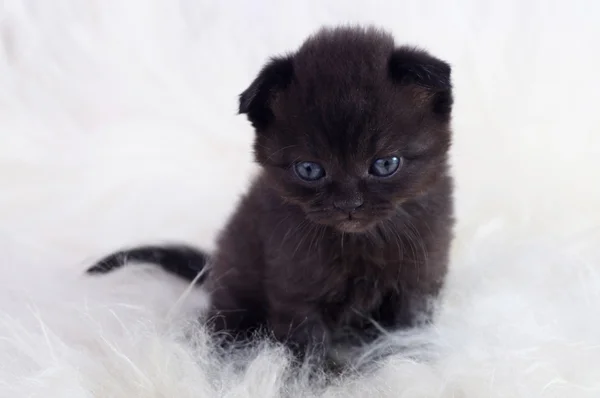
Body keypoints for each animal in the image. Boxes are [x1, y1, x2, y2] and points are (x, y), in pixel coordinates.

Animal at [86, 25, 454, 364]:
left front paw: (403, 362)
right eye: (309, 170)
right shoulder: (295, 287)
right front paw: (322, 379)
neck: (359, 242)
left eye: (385, 164)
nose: (348, 205)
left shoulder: (419, 281)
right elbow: (309, 347)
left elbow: (406, 332)